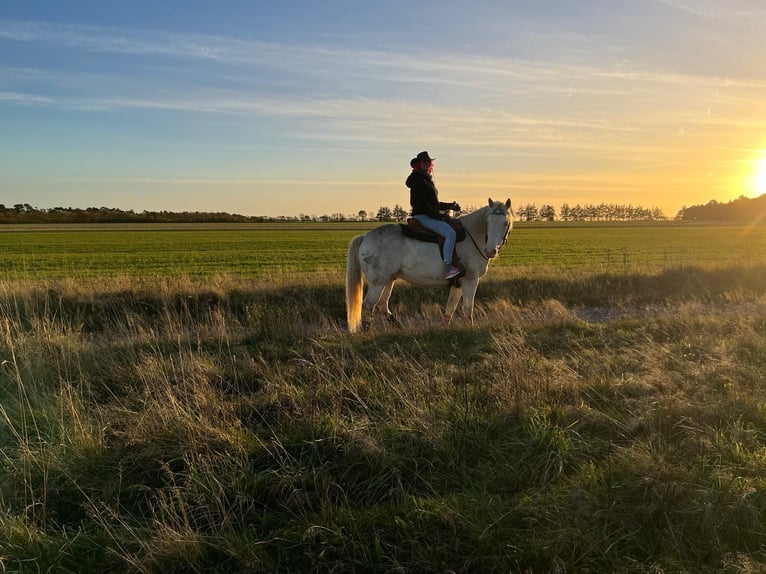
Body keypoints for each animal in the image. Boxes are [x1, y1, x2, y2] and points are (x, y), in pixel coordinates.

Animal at [348, 198, 516, 332]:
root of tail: (365, 237)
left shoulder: (458, 283)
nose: (490, 251)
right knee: (369, 305)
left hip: (389, 280)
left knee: (383, 304)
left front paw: (445, 328)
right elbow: (468, 308)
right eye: (488, 222)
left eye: (505, 223)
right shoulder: (470, 280)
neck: (472, 236)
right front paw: (470, 329)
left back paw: (398, 326)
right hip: (378, 282)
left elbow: (450, 308)